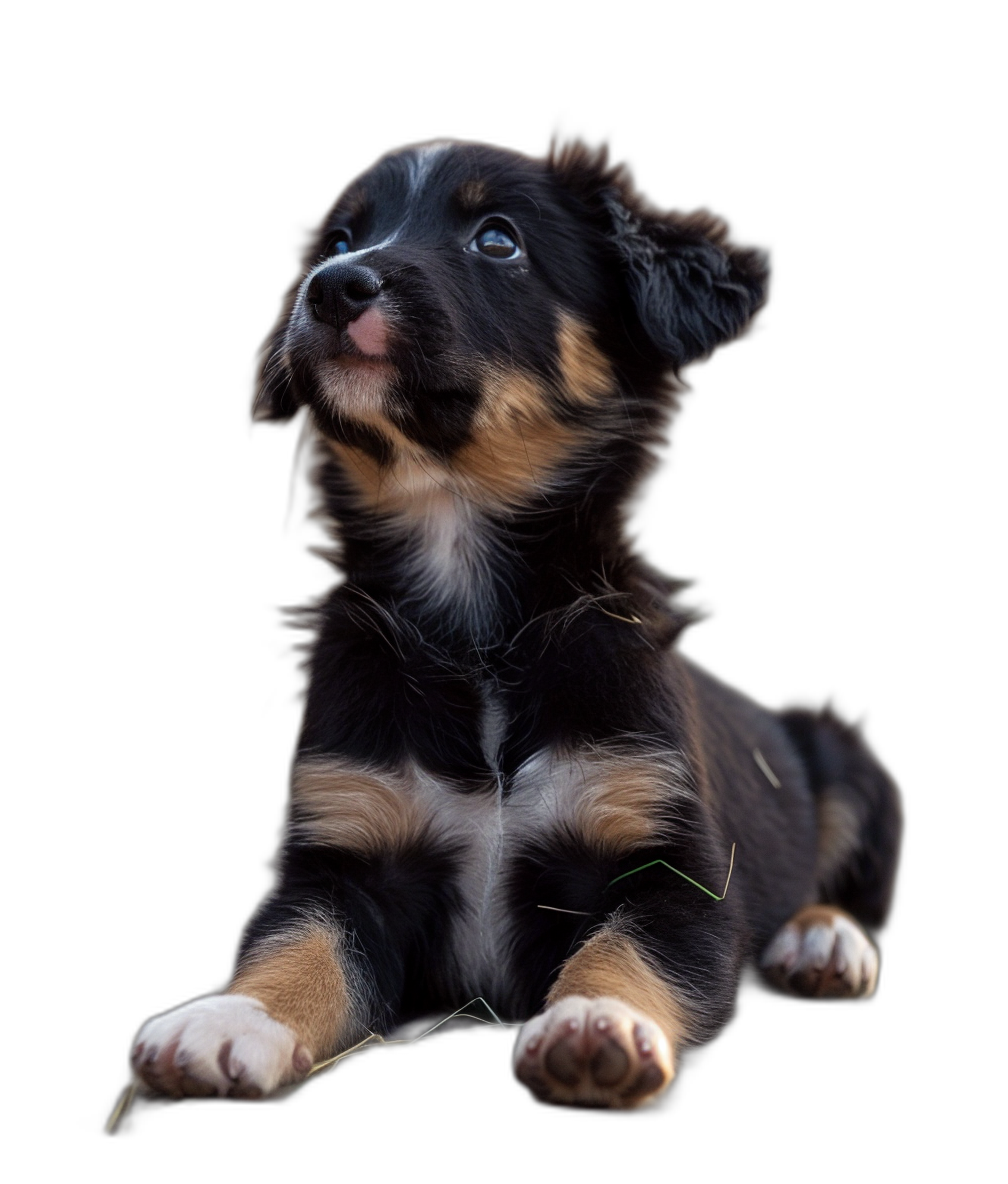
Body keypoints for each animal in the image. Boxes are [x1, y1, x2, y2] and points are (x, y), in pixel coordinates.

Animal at [127, 138, 904, 1108]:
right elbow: (293, 947)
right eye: (338, 239)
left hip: (854, 770)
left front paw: (592, 1026)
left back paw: (821, 940)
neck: (477, 629)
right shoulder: (341, 859)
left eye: (497, 240)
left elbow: (624, 952)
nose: (332, 286)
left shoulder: (671, 873)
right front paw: (228, 1022)